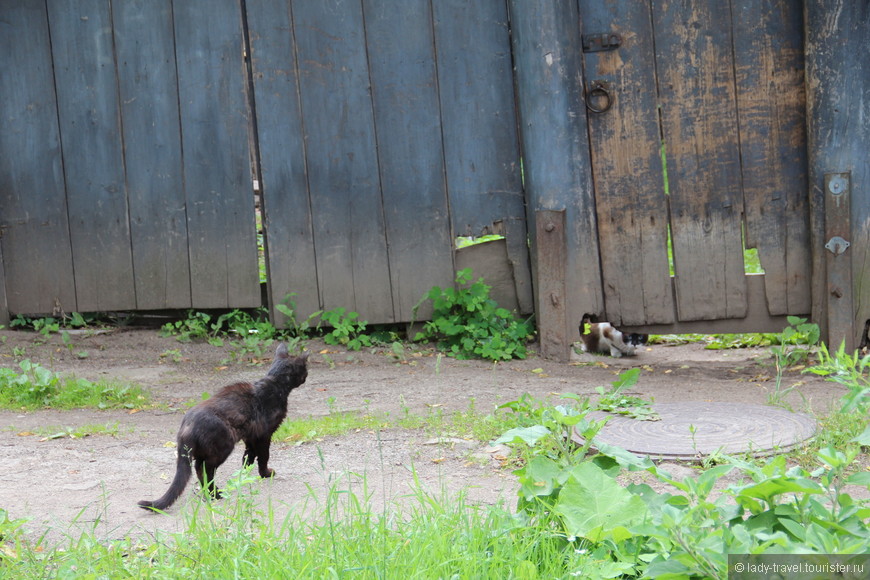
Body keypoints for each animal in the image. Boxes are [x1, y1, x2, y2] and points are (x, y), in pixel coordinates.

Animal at [140, 342, 310, 510]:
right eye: (305, 370)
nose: (306, 378)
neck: (275, 383)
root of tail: (186, 426)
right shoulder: (264, 434)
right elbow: (263, 455)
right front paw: (265, 473)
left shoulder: (251, 435)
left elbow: (248, 456)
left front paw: (244, 474)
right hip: (223, 447)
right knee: (203, 469)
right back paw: (215, 494)